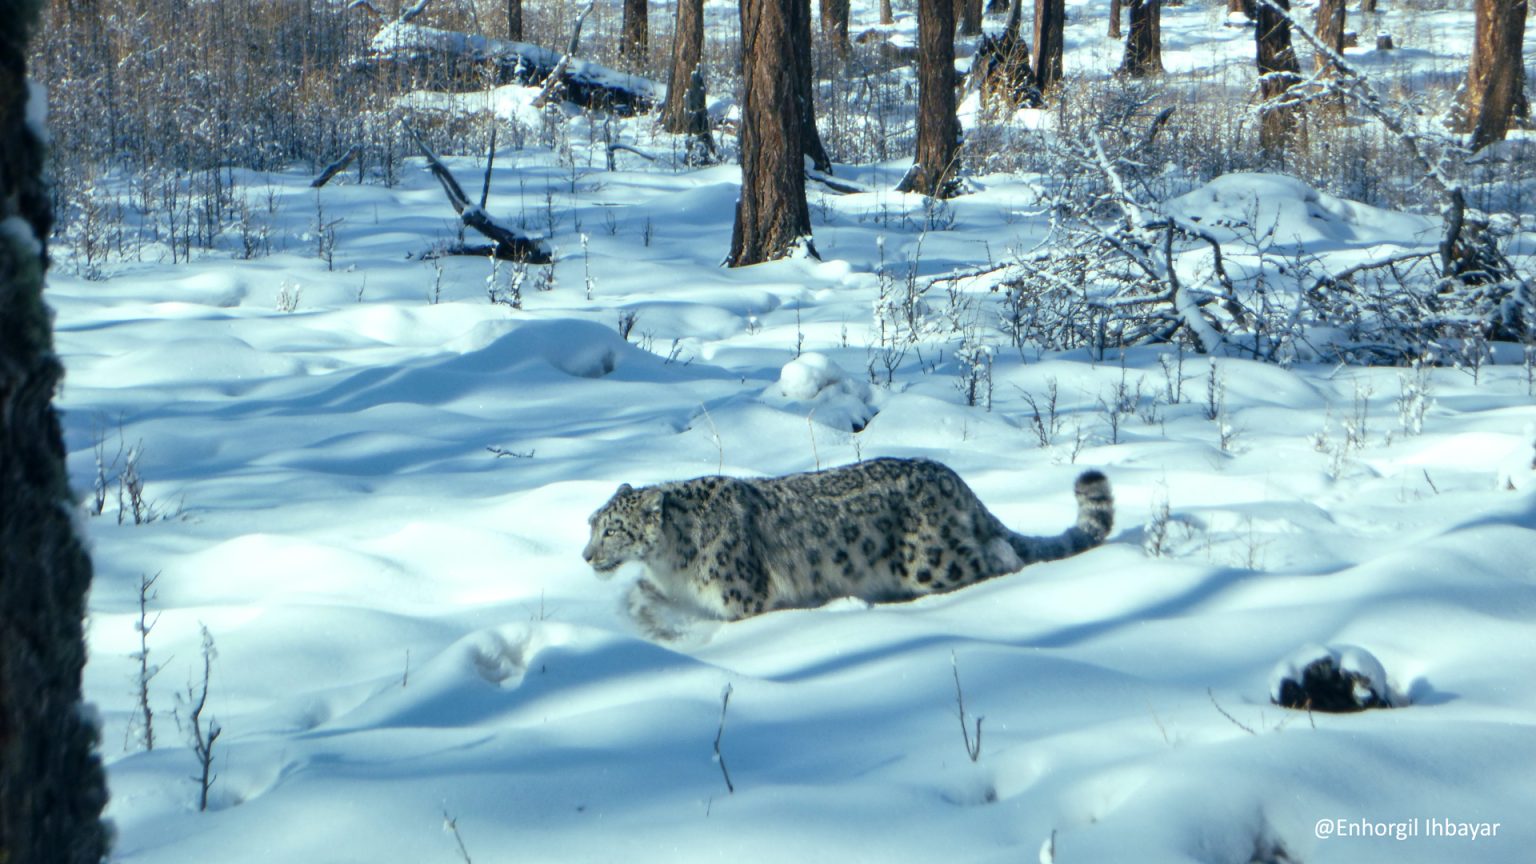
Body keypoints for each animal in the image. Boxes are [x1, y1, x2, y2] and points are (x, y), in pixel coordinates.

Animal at [582, 457, 1113, 639]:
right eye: (591, 524)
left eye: (612, 530)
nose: (586, 556)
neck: (674, 563)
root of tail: (950, 477)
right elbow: (646, 594)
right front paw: (638, 613)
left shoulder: (741, 599)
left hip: (931, 562)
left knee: (999, 555)